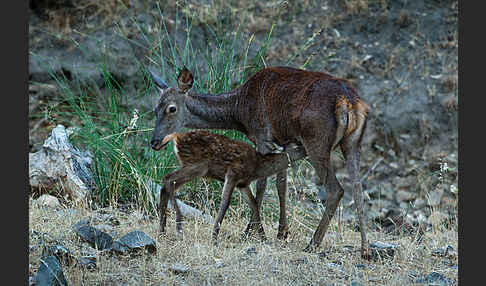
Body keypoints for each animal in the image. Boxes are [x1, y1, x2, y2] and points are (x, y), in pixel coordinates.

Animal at [153, 130, 304, 241]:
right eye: (297, 146)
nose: (307, 150)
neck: (257, 166)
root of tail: (176, 136)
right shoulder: (233, 173)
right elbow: (226, 202)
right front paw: (214, 237)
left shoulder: (243, 184)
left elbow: (254, 204)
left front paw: (263, 237)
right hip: (197, 165)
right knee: (168, 180)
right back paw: (178, 224)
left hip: (192, 165)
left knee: (166, 183)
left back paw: (162, 231)